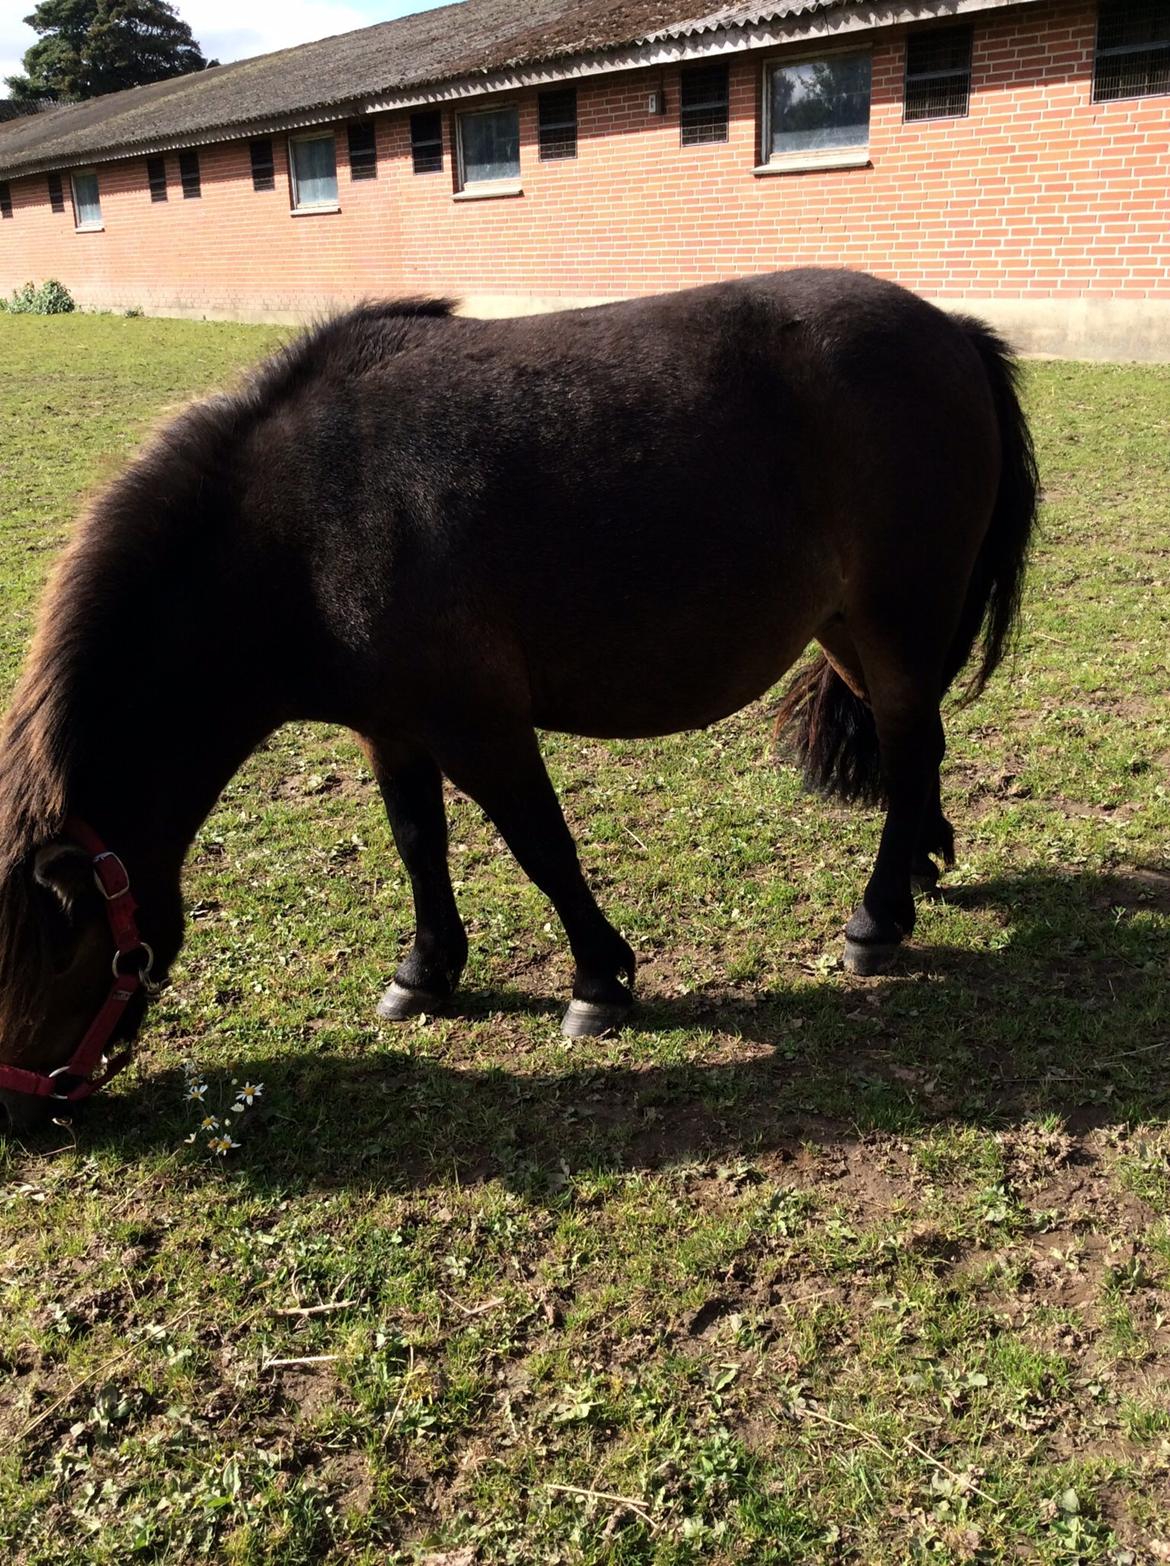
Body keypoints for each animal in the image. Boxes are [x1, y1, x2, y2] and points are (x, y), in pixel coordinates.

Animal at [0, 266, 1040, 1127]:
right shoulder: (390, 729)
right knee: (916, 746)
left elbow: (542, 846)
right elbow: (418, 845)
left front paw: (598, 983)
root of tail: (948, 329)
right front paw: (425, 973)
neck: (305, 527)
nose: (22, 1120)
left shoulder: (479, 723)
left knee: (911, 742)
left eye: (52, 959)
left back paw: (876, 920)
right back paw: (916, 870)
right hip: (850, 627)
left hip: (897, 617)